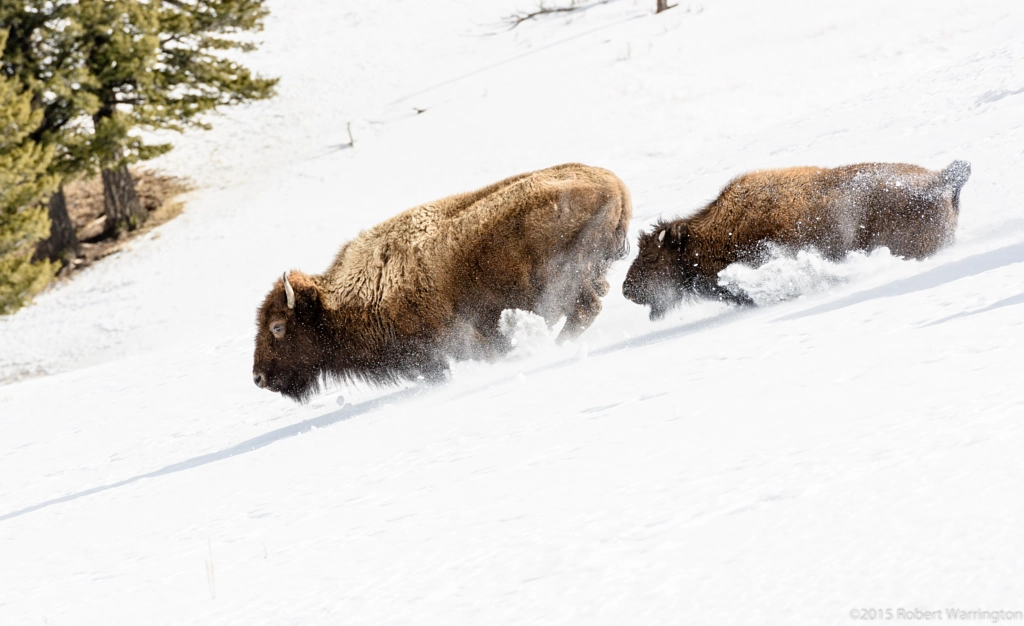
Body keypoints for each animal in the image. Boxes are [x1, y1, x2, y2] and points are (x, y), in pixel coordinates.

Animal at [251, 162, 626, 401]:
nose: (258, 378)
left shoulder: (449, 347)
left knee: (585, 310)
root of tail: (615, 185)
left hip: (564, 281)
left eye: (278, 327)